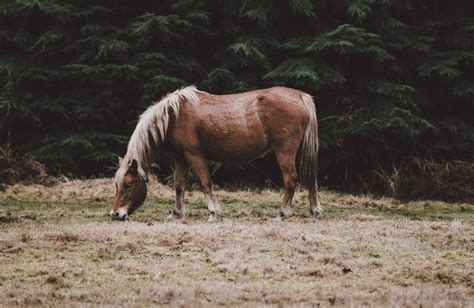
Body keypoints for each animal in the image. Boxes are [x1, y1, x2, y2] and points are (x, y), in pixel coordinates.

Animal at [110, 85, 322, 221]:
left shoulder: (194, 155)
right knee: (311, 179)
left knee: (290, 179)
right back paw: (314, 210)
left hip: (284, 150)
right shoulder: (181, 158)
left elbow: (205, 182)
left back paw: (282, 214)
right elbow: (179, 186)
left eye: (128, 184)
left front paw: (213, 212)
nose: (115, 214)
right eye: (117, 185)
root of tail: (300, 96)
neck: (173, 117)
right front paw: (176, 213)